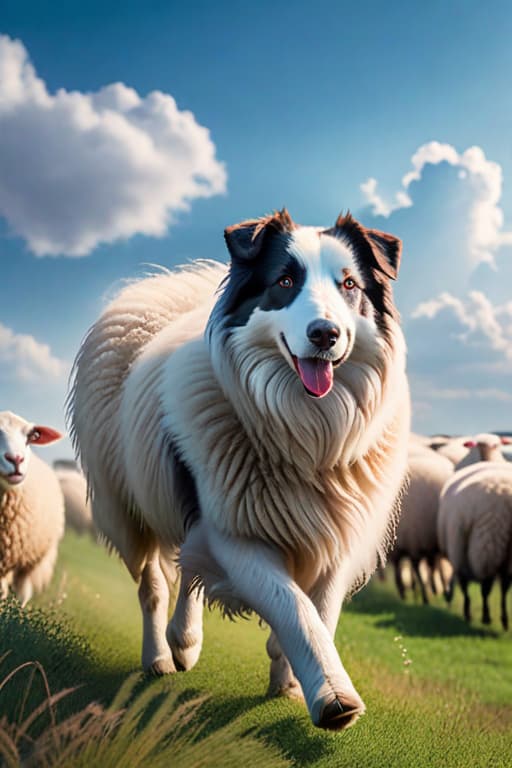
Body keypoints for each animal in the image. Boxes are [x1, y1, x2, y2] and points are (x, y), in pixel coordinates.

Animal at [436, 462, 512, 632]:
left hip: (481, 549)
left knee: (488, 585)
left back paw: (489, 617)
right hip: (488, 552)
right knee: (492, 586)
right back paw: (492, 617)